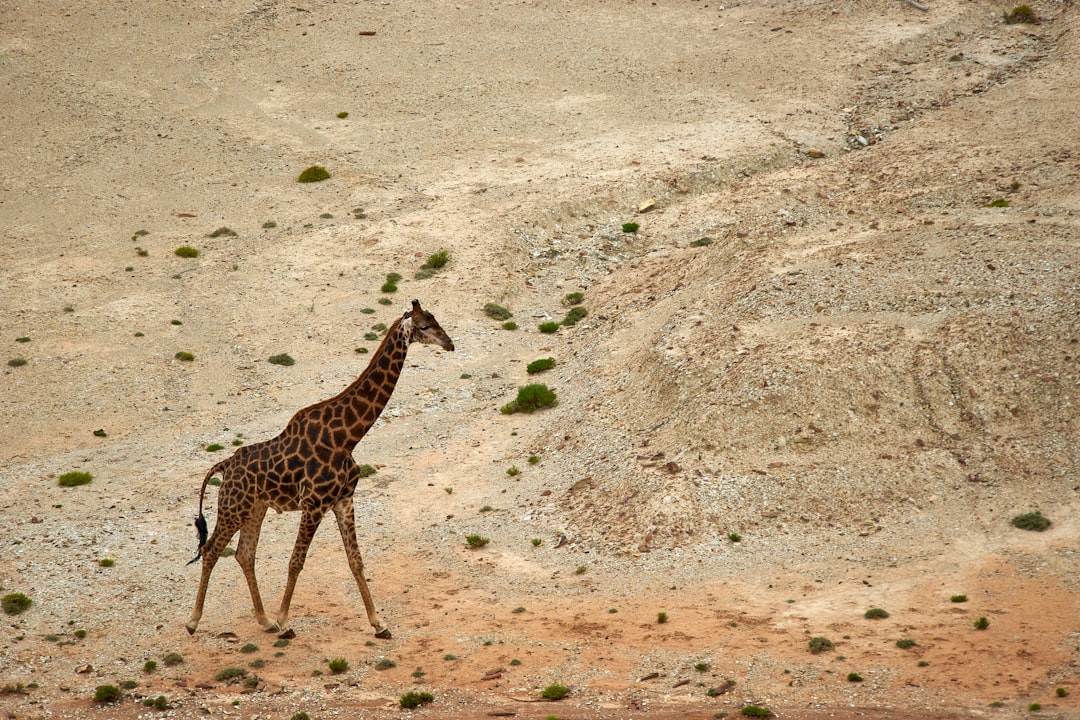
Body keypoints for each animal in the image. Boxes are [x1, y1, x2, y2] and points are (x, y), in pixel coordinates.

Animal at [184, 302, 451, 639]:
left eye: (436, 320)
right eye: (424, 326)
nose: (449, 343)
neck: (347, 438)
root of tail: (224, 465)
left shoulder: (344, 499)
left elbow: (356, 561)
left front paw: (379, 624)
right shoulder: (313, 504)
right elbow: (296, 561)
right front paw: (286, 621)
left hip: (256, 507)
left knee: (245, 554)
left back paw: (264, 620)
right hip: (234, 507)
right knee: (211, 550)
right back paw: (194, 621)